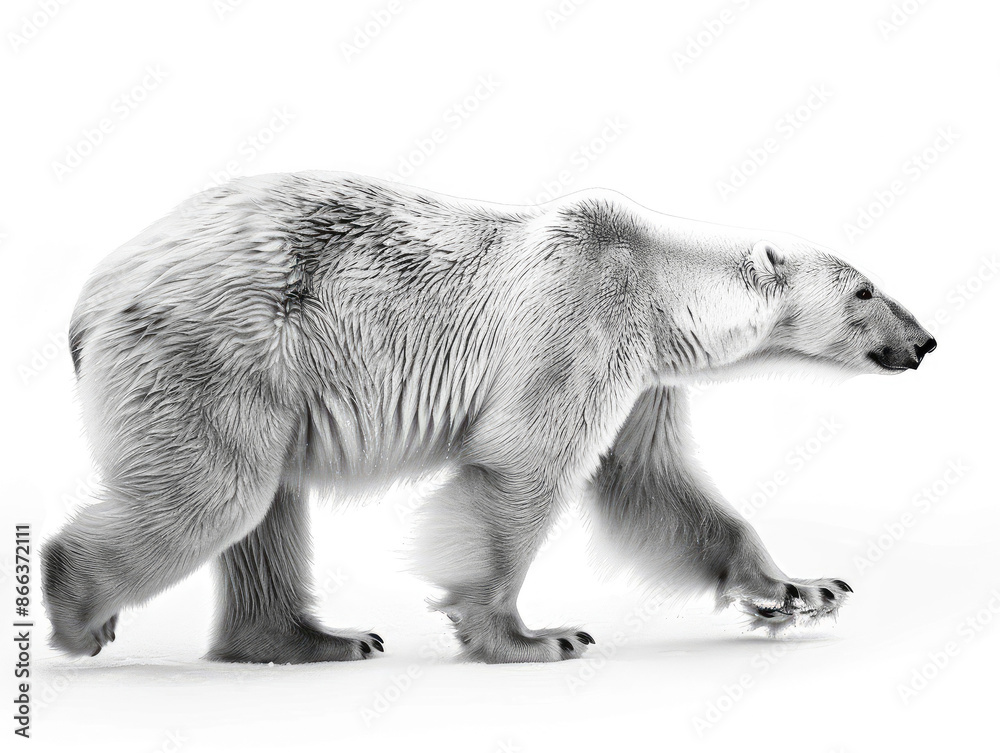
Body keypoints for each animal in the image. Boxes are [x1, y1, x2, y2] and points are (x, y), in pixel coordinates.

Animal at [41, 171, 936, 664]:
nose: (925, 341)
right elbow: (522, 465)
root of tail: (87, 300)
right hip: (221, 344)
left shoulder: (644, 376)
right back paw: (77, 613)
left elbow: (654, 480)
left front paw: (803, 588)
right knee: (216, 494)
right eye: (865, 289)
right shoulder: (579, 317)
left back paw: (315, 639)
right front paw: (533, 637)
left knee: (263, 508)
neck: (654, 279)